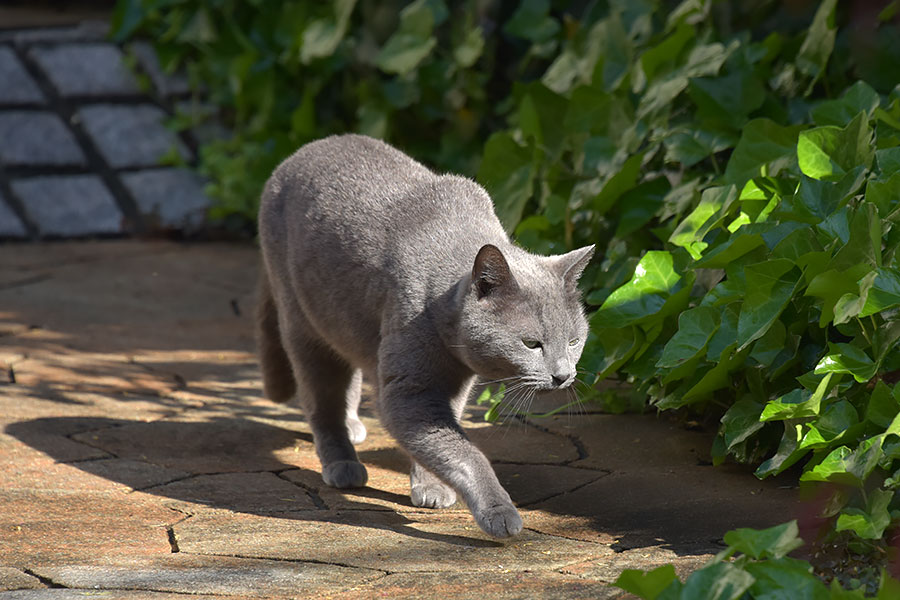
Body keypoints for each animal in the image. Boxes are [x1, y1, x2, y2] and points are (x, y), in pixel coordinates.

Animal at [256, 134, 596, 536]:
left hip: (344, 326)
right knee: (321, 399)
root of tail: (303, 151)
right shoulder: (411, 388)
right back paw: (342, 463)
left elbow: (438, 441)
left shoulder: (453, 384)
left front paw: (432, 487)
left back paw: (354, 425)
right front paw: (500, 512)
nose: (563, 375)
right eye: (532, 343)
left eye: (574, 341)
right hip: (304, 321)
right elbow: (463, 451)